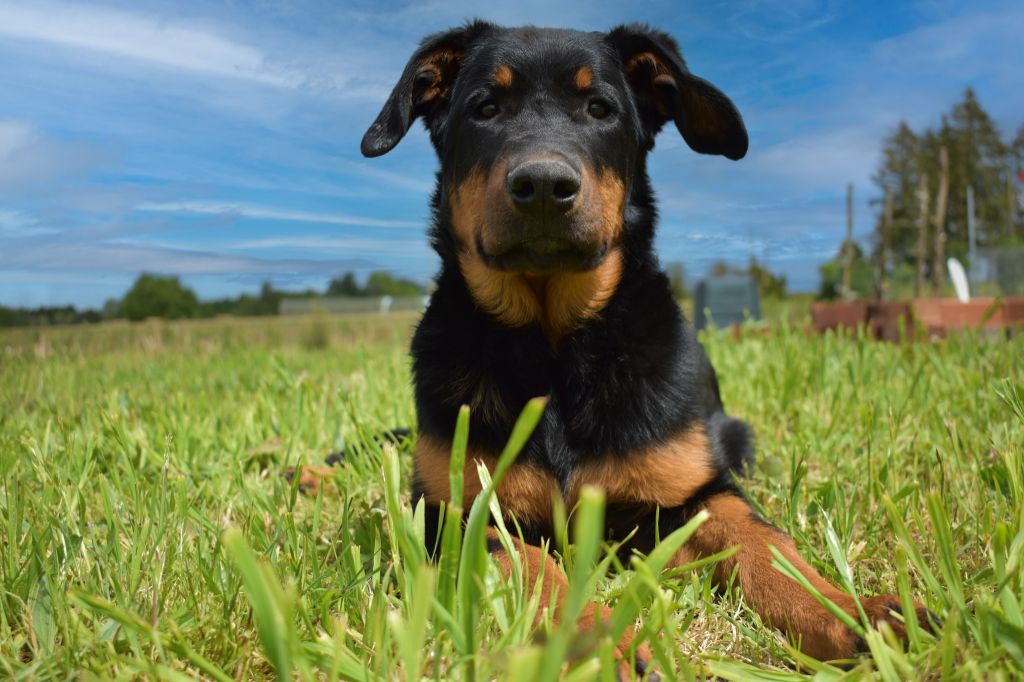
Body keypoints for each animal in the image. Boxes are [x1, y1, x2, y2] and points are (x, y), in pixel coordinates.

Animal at [358, 19, 937, 667]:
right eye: (484, 108)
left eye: (599, 108)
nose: (543, 185)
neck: (555, 349)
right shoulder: (450, 512)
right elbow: (529, 562)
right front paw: (599, 644)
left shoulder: (692, 498)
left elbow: (766, 545)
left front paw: (855, 615)